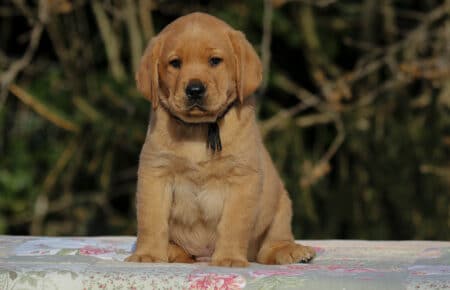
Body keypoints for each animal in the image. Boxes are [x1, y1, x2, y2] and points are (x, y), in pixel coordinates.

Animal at [126, 13, 314, 268]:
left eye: (215, 61)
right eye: (175, 63)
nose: (195, 89)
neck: (200, 129)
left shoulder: (242, 179)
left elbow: (233, 225)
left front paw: (229, 258)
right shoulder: (156, 172)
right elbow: (151, 220)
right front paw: (148, 254)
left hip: (281, 204)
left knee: (269, 246)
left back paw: (290, 250)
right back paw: (172, 251)